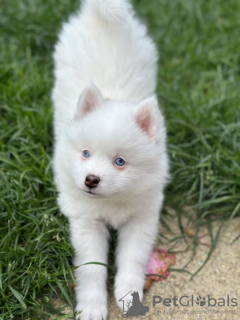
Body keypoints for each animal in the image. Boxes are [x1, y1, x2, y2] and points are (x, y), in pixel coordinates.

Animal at [52, 0, 169, 320]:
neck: (112, 201)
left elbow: (132, 259)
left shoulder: (142, 218)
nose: (91, 179)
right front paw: (91, 307)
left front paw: (129, 296)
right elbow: (91, 268)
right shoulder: (86, 221)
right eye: (86, 153)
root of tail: (101, 18)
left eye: (120, 162)